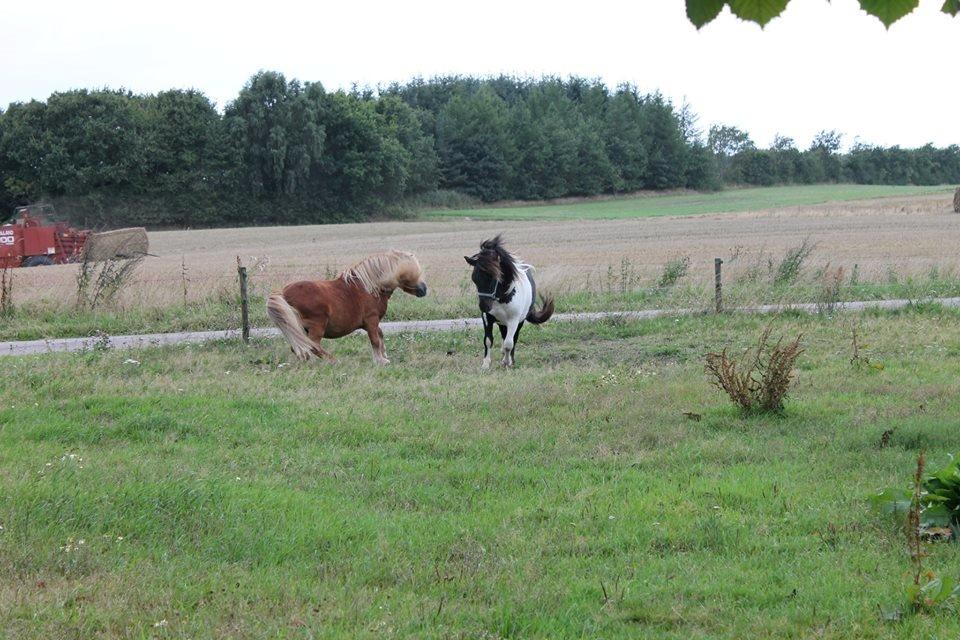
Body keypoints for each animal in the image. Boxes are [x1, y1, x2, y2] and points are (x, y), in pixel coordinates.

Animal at [264, 251, 426, 364]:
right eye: (412, 271)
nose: (424, 289)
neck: (369, 287)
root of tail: (284, 293)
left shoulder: (369, 324)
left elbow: (380, 335)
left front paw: (384, 356)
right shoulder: (371, 320)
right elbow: (375, 339)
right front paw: (381, 361)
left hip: (297, 329)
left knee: (299, 347)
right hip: (316, 326)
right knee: (313, 346)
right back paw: (333, 361)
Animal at [464, 235, 556, 368]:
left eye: (494, 277)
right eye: (474, 279)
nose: (484, 306)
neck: (502, 298)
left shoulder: (514, 320)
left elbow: (509, 343)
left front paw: (507, 362)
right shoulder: (487, 318)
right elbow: (488, 341)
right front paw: (486, 364)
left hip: (518, 322)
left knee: (513, 339)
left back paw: (509, 358)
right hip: (502, 323)